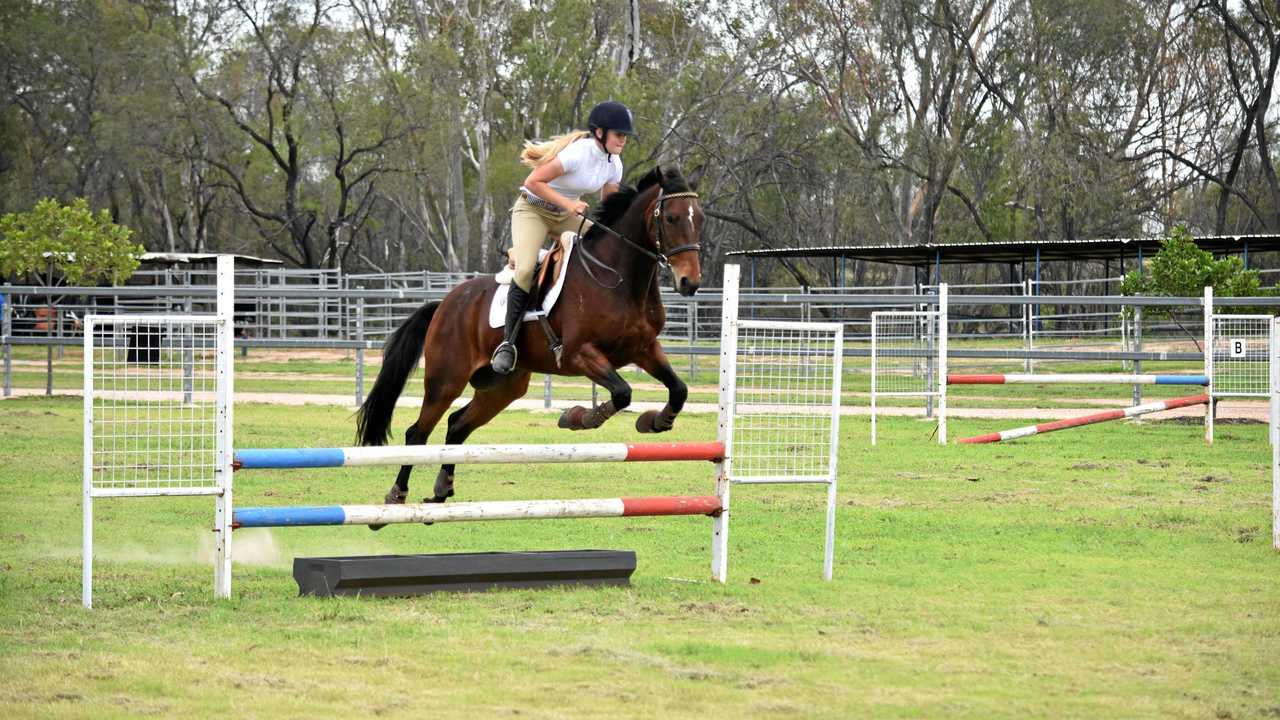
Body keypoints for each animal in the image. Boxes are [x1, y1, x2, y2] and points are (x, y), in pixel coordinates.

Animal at [355, 165, 706, 517]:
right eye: (671, 218)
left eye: (700, 218)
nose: (690, 282)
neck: (617, 278)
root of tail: (445, 303)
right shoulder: (579, 353)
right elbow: (622, 393)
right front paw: (579, 418)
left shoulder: (644, 349)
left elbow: (678, 389)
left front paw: (655, 421)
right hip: (446, 380)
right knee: (418, 432)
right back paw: (397, 494)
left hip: (502, 388)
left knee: (457, 424)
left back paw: (442, 489)